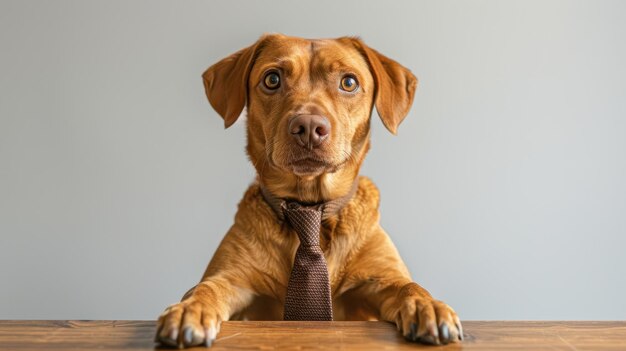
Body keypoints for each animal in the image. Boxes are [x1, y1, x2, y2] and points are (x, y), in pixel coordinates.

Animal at [154, 34, 460, 348]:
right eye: (272, 79)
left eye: (349, 82)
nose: (309, 126)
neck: (309, 208)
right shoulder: (232, 277)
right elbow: (204, 289)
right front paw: (189, 309)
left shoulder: (382, 279)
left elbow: (409, 286)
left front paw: (427, 305)